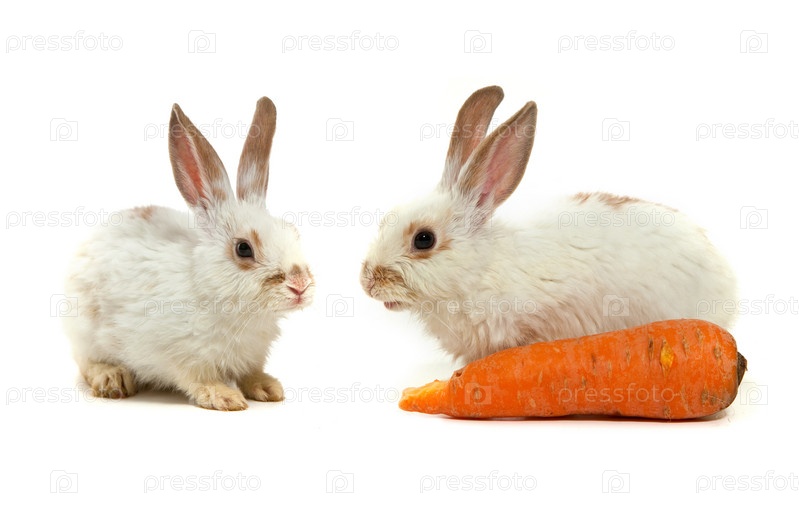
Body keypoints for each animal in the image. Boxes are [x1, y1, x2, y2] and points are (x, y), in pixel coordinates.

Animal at [63, 97, 314, 410]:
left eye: (292, 232)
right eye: (244, 248)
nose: (300, 285)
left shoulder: (253, 356)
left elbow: (251, 373)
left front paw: (269, 388)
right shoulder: (181, 356)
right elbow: (197, 379)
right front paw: (225, 397)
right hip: (85, 332)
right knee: (86, 362)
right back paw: (112, 378)